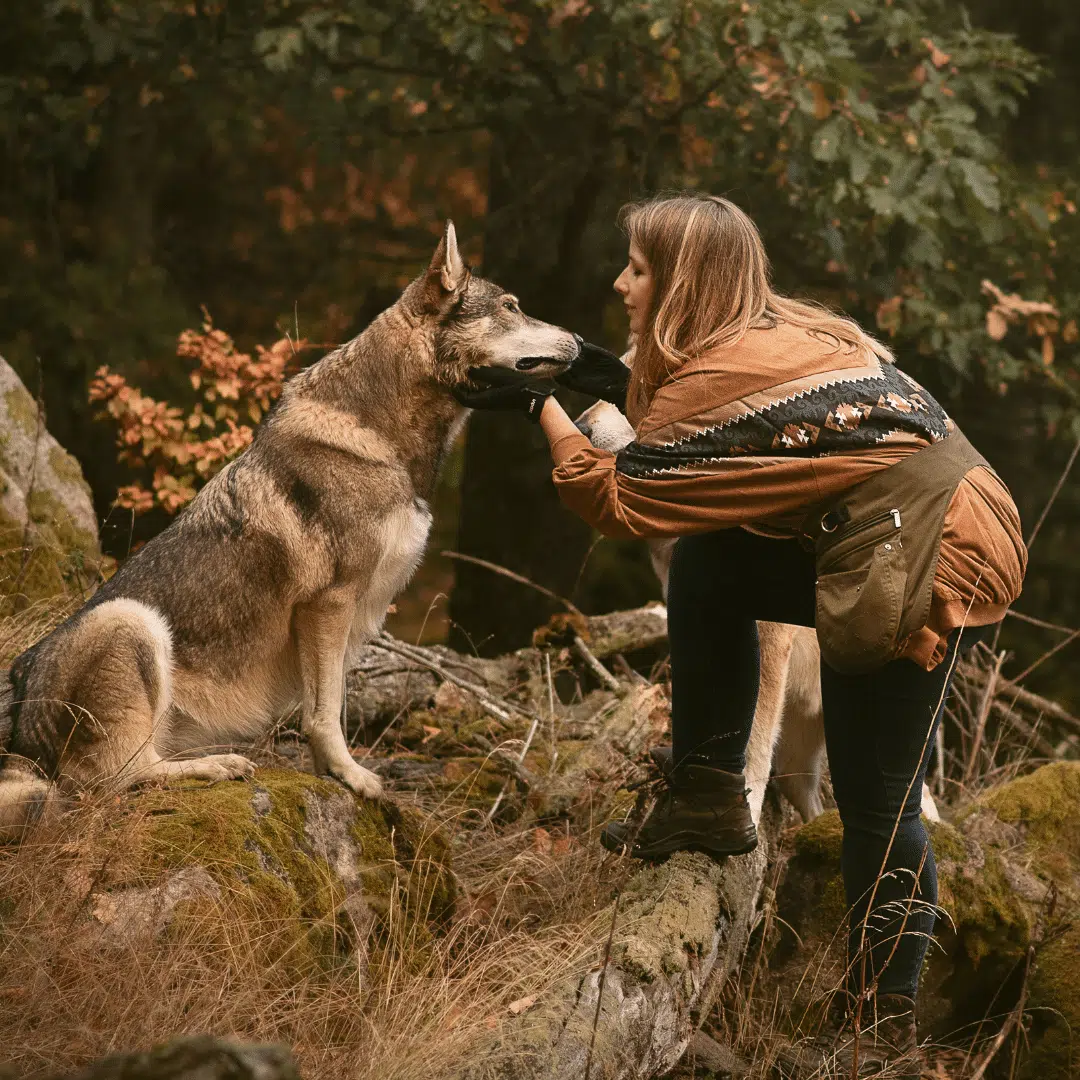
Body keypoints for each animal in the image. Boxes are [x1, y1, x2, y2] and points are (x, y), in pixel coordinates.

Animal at [0, 222, 580, 838]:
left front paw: (334, 775)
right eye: (512, 307)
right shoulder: (330, 604)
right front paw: (353, 777)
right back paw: (218, 766)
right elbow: (325, 713)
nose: (578, 340)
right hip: (131, 623)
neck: (384, 439)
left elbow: (330, 703)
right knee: (109, 781)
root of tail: (19, 730)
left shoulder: (348, 618)